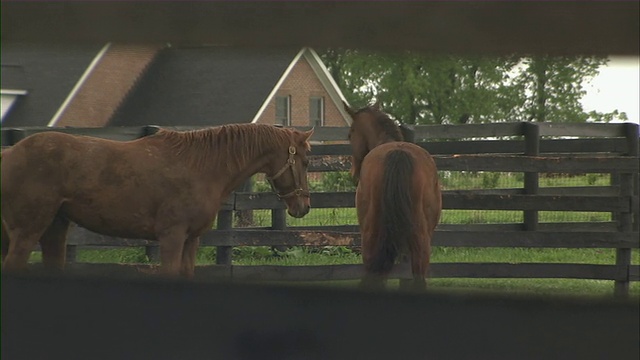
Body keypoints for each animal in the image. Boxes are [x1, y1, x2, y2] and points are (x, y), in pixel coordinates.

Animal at [0, 124, 316, 276]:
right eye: (306, 160)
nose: (303, 207)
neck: (200, 167)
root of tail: (10, 153)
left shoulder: (191, 240)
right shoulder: (171, 237)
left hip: (55, 228)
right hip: (28, 230)